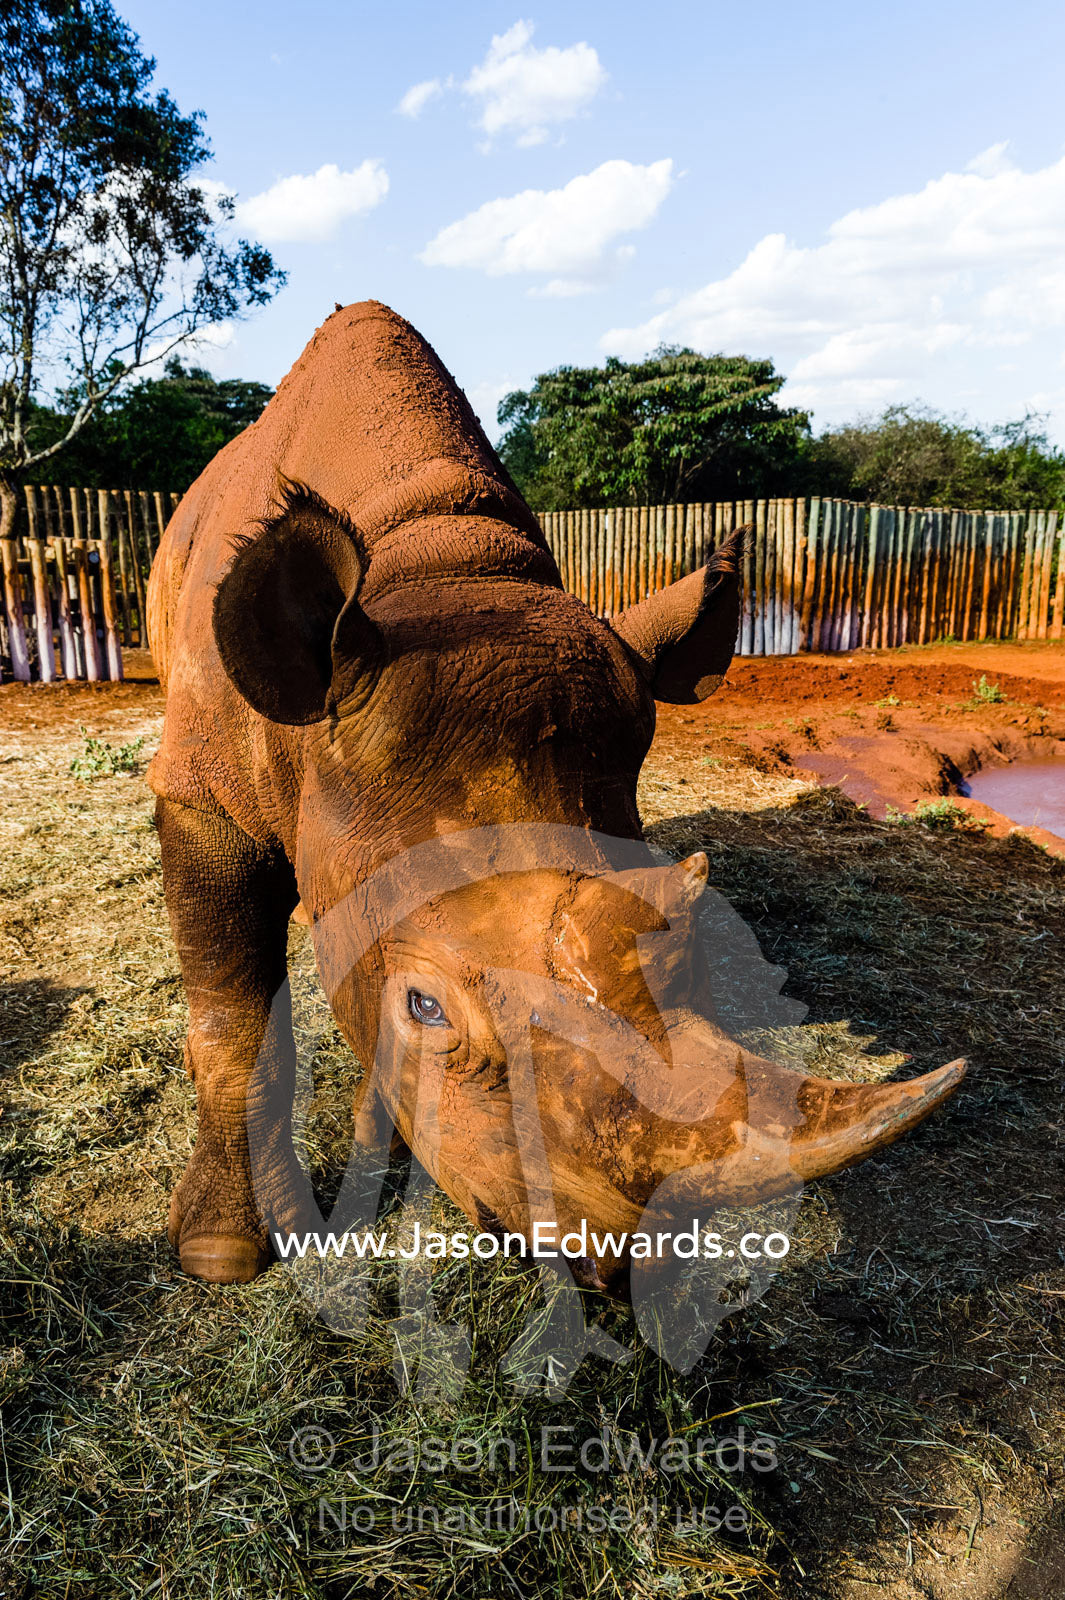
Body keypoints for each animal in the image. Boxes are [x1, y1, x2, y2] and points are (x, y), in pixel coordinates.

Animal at [146, 301, 964, 1289]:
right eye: (424, 1008)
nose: (599, 1266)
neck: (435, 565)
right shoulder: (204, 801)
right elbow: (232, 1024)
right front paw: (220, 1255)